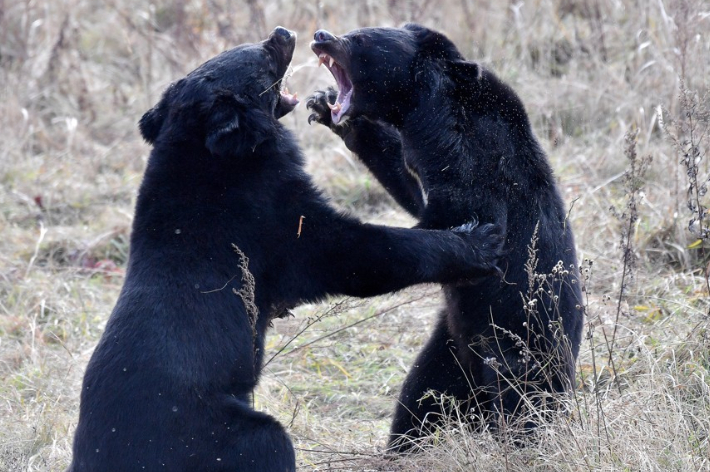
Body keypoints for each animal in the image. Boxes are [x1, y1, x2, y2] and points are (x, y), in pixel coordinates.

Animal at [308, 24, 588, 452]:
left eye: (361, 38)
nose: (322, 35)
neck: (422, 106)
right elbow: (410, 189)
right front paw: (328, 109)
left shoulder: (468, 159)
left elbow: (450, 213)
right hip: (451, 347)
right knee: (420, 399)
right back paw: (401, 448)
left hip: (520, 347)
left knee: (521, 407)